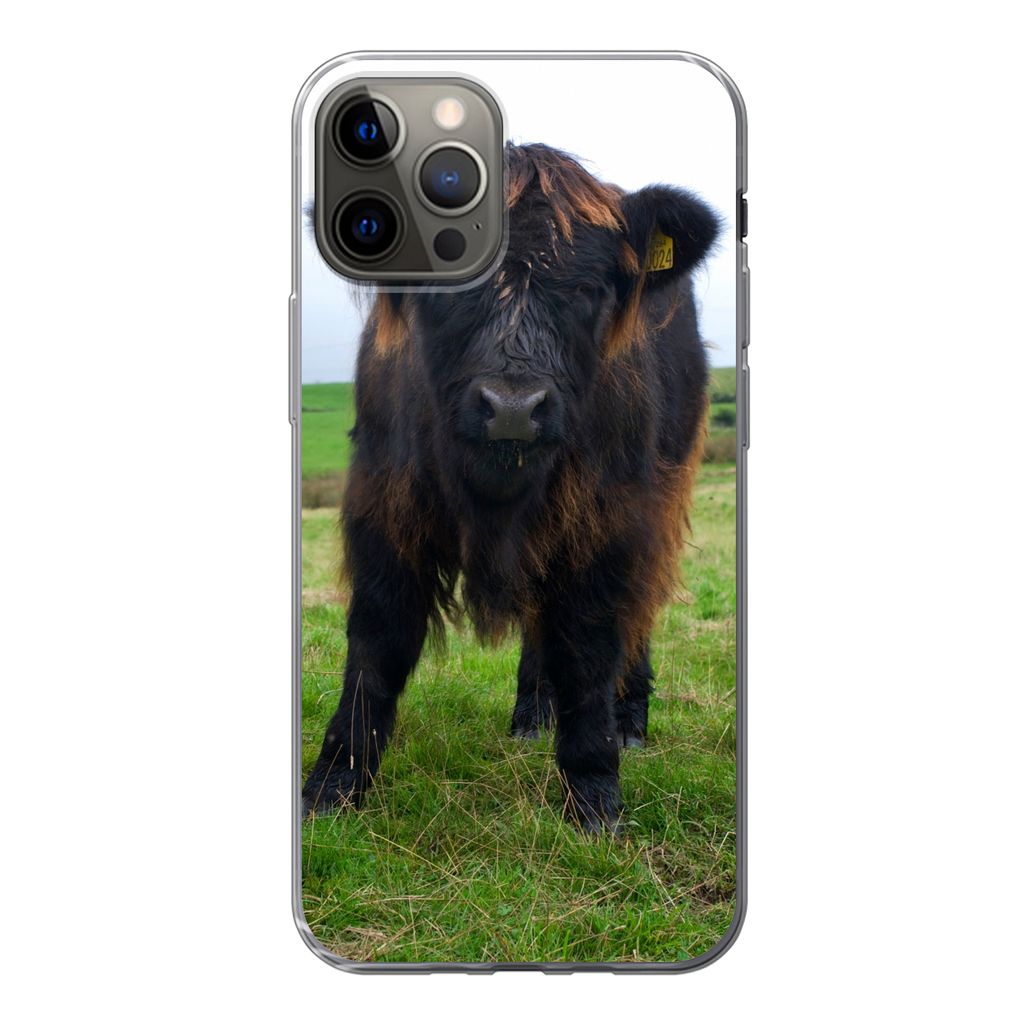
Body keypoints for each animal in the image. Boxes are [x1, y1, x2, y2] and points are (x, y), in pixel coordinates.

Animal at [302, 143, 721, 833]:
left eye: (587, 289)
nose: (513, 408)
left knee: (637, 613)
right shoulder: (384, 504)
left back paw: (630, 721)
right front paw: (332, 787)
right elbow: (376, 640)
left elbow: (590, 645)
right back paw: (531, 713)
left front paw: (595, 797)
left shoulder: (609, 519)